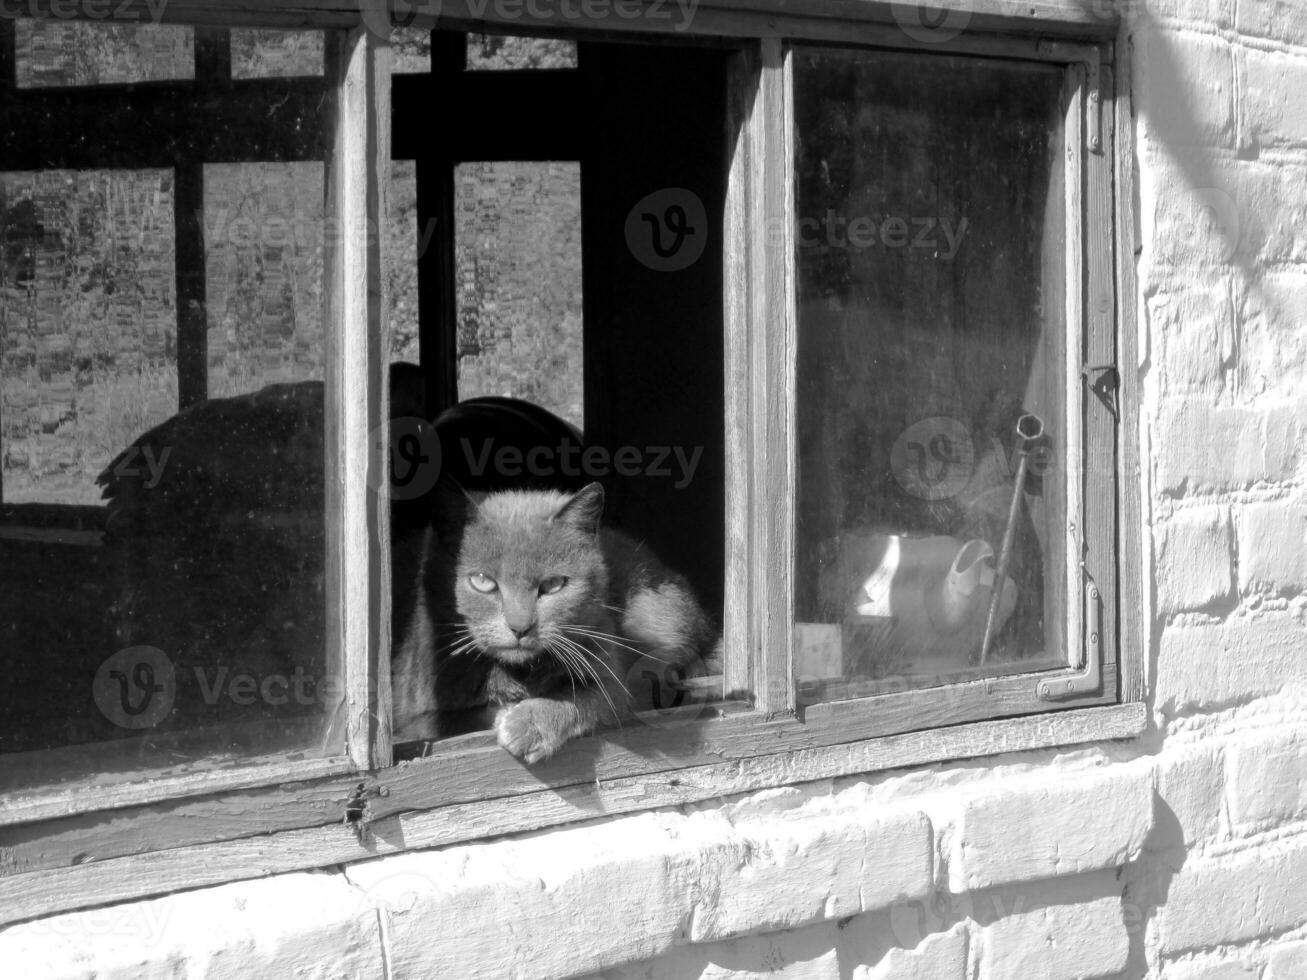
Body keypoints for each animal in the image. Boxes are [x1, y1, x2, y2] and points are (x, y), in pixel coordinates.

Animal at [392, 480, 721, 763]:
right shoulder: (415, 717)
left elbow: (587, 699)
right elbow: (463, 717)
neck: (521, 671)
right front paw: (509, 711)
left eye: (552, 585)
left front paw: (530, 723)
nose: (520, 628)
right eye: (483, 581)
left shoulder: (609, 672)